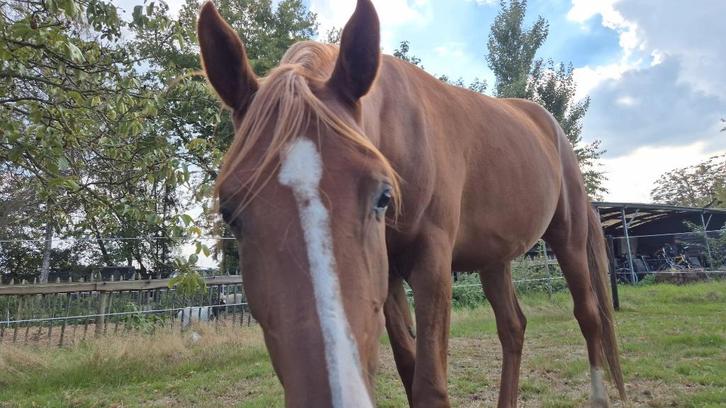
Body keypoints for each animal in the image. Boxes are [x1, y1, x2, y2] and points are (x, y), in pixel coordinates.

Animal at [198, 1, 625, 406]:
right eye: (229, 212)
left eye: (382, 196)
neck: (399, 128)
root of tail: (548, 123)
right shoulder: (386, 276)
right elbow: (408, 367)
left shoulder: (431, 263)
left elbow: (430, 385)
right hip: (494, 259)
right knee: (513, 327)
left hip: (568, 238)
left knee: (588, 315)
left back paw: (599, 397)